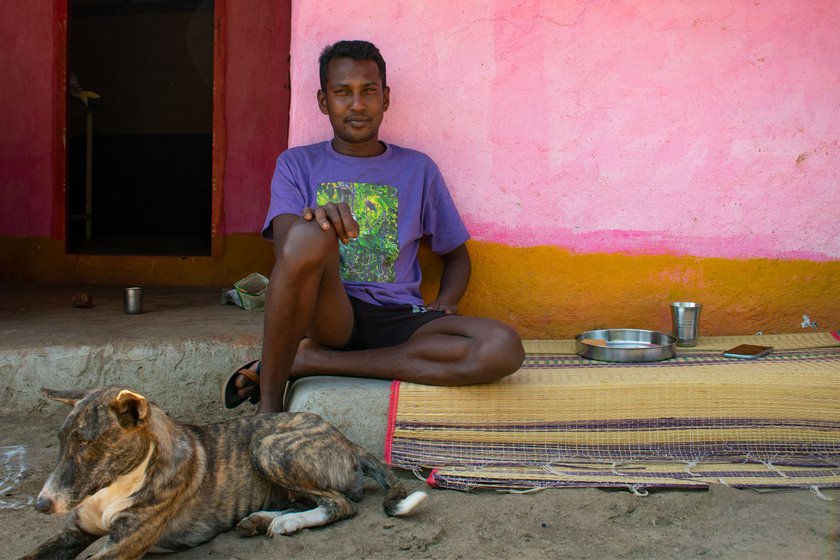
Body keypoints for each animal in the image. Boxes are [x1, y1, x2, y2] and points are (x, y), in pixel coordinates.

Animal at [21, 388, 426, 556]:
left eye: (86, 443)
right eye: (61, 441)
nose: (41, 505)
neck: (116, 485)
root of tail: (347, 441)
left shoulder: (123, 543)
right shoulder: (74, 533)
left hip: (267, 446)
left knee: (341, 504)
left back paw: (285, 523)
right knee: (313, 500)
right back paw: (263, 519)